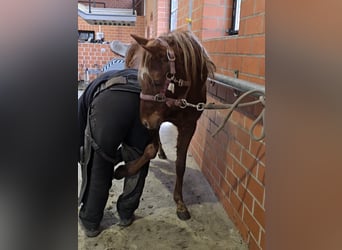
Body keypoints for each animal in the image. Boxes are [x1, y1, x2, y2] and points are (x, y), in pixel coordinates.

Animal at [113, 30, 215, 220]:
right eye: (140, 80)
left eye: (155, 81)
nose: (144, 122)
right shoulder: (154, 120)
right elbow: (149, 150)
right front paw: (124, 170)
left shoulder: (188, 126)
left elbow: (180, 163)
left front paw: (180, 203)